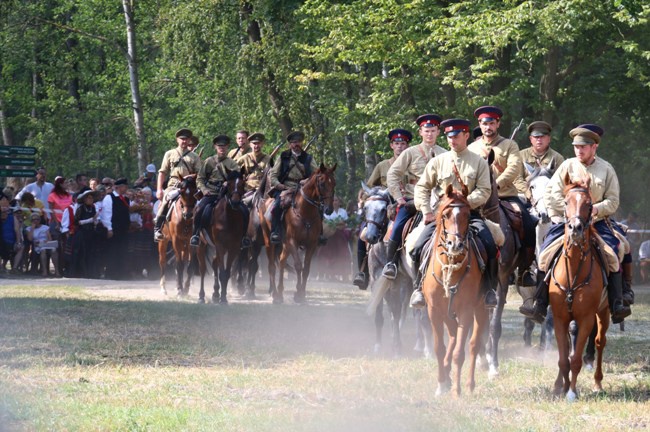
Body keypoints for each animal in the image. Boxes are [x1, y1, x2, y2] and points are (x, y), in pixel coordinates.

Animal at [195, 171, 246, 304]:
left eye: (242, 184)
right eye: (229, 184)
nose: (235, 202)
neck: (229, 218)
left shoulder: (233, 248)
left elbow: (226, 273)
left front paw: (222, 296)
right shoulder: (220, 245)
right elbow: (222, 272)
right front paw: (222, 298)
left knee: (214, 263)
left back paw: (215, 294)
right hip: (201, 245)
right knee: (202, 269)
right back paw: (201, 296)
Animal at [260, 165, 336, 304]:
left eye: (334, 183)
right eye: (322, 184)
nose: (329, 209)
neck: (305, 212)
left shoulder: (311, 245)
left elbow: (306, 269)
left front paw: (301, 294)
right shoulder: (293, 242)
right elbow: (298, 266)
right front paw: (298, 294)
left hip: (285, 245)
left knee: (282, 261)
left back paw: (280, 292)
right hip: (269, 241)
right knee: (272, 266)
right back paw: (275, 294)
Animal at [420, 184, 486, 396]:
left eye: (467, 214)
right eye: (445, 214)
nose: (455, 244)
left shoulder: (466, 310)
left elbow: (460, 352)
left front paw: (457, 390)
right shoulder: (434, 310)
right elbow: (439, 348)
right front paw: (442, 384)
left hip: (482, 308)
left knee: (473, 344)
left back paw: (469, 385)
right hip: (447, 313)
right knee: (452, 334)